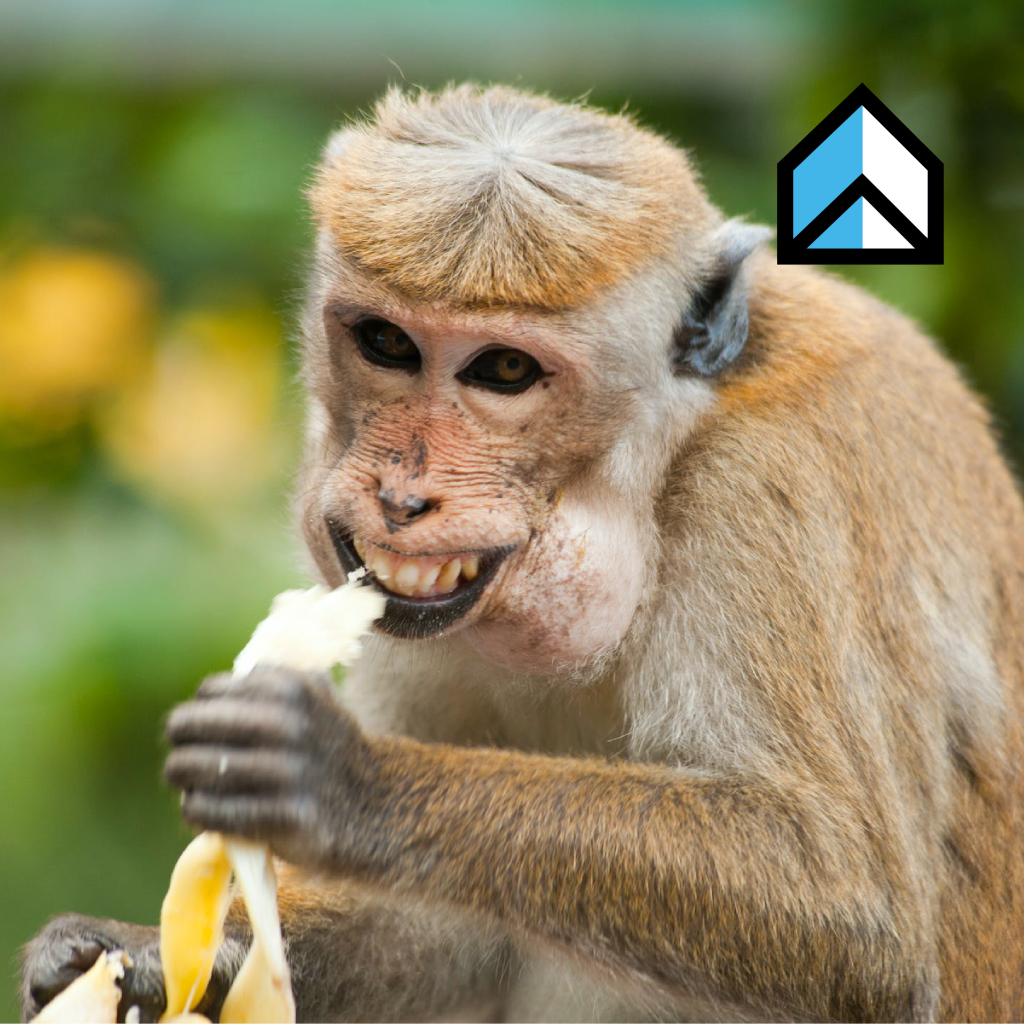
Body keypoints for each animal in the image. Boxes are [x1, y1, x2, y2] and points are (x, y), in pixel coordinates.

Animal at [21, 83, 1024, 1024]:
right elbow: (445, 928)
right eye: (386, 342)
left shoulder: (765, 491)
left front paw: (347, 782)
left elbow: (851, 914)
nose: (402, 498)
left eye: (503, 370)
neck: (661, 461)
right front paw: (132, 954)